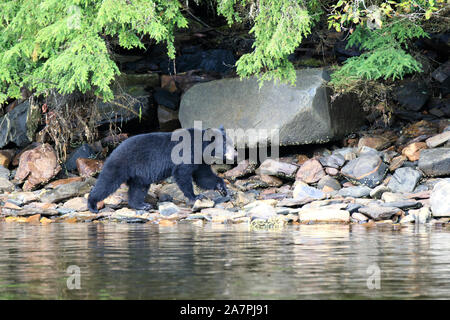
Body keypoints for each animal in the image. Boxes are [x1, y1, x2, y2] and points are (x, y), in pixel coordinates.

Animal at [87, 126, 236, 214]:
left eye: (231, 143)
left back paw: (141, 205)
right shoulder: (188, 153)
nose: (235, 155)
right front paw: (195, 196)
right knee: (107, 182)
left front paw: (222, 189)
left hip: (139, 175)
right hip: (121, 164)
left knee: (138, 188)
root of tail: (113, 150)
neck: (201, 146)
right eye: (225, 145)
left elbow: (203, 176)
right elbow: (182, 173)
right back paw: (92, 204)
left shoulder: (201, 160)